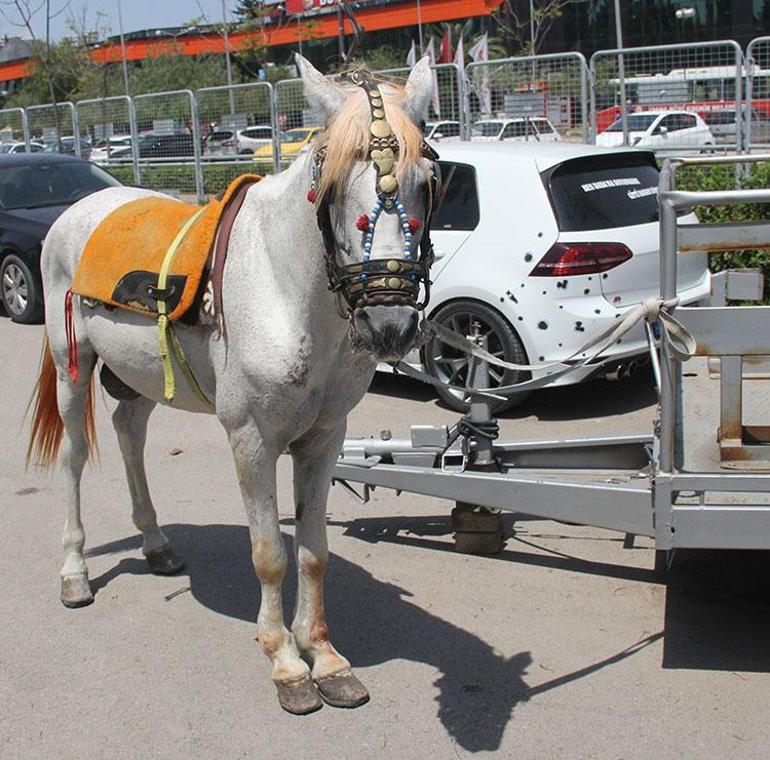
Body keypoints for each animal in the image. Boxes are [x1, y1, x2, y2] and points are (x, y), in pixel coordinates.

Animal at [27, 55, 436, 715]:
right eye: (332, 188)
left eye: (428, 180)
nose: (390, 325)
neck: (288, 291)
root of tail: (81, 209)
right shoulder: (251, 438)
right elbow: (270, 554)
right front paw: (287, 664)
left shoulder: (325, 438)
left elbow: (313, 551)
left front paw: (325, 656)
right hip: (73, 365)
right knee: (74, 457)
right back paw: (74, 573)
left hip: (140, 377)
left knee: (129, 434)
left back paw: (155, 543)